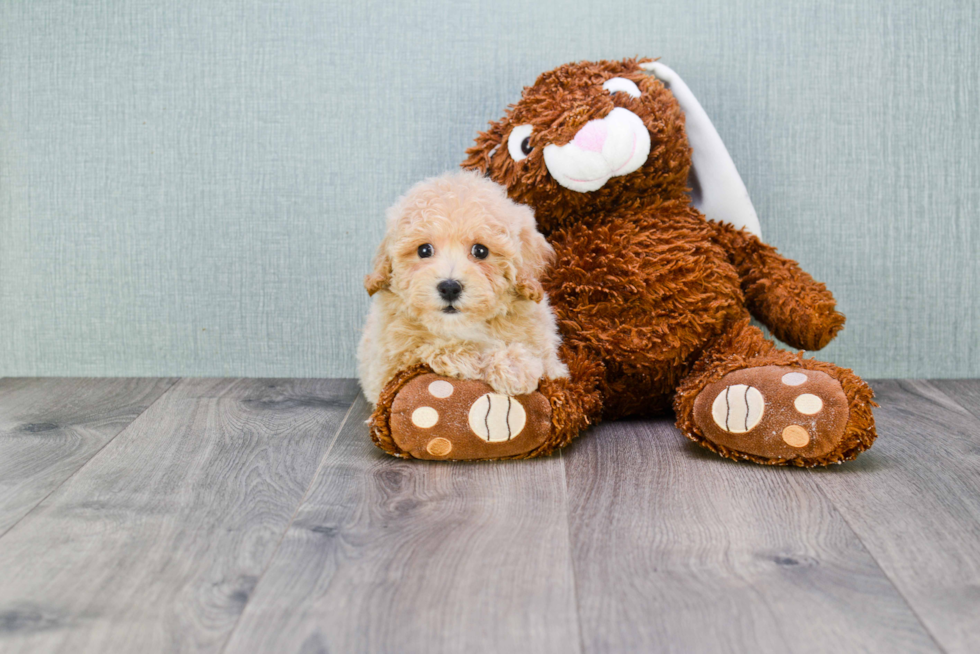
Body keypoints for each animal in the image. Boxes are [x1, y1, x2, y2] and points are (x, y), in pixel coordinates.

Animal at [360, 170, 572, 404]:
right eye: (424, 250)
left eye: (480, 251)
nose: (449, 287)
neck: (462, 325)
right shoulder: (387, 367)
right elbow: (427, 348)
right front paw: (478, 360)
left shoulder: (546, 350)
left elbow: (542, 361)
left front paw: (515, 367)